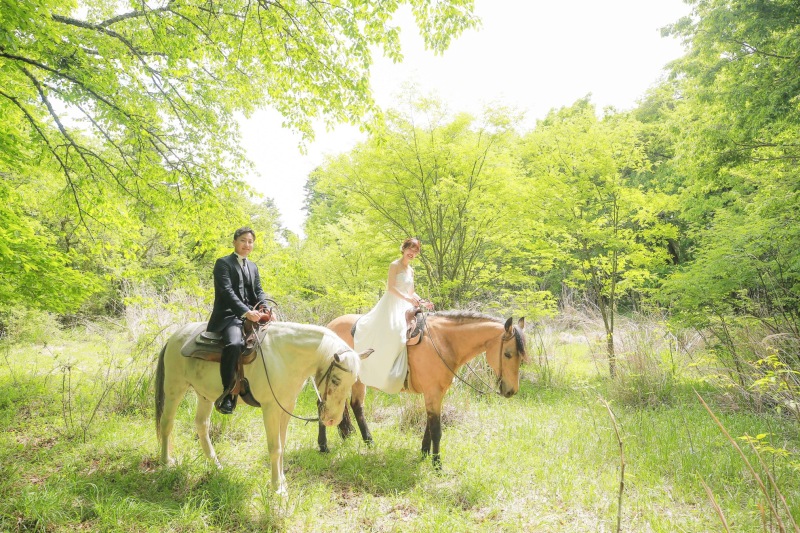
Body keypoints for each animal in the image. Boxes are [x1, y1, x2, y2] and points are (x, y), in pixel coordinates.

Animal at [155, 321, 371, 495]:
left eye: (354, 382)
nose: (332, 420)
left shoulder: (286, 406)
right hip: (175, 387)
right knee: (167, 423)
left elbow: (282, 445)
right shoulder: (271, 408)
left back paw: (215, 464)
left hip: (205, 396)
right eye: (335, 380)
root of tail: (174, 337)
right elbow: (275, 448)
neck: (285, 357)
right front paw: (277, 488)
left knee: (202, 425)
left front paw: (282, 482)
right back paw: (166, 462)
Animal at [321, 311, 527, 468]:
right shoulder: (432, 392)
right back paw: (324, 447)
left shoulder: (437, 393)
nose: (511, 391)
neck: (444, 343)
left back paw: (368, 442)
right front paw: (437, 465)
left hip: (355, 381)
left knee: (356, 406)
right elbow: (436, 429)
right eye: (508, 354)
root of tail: (329, 326)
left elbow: (429, 424)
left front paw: (425, 453)